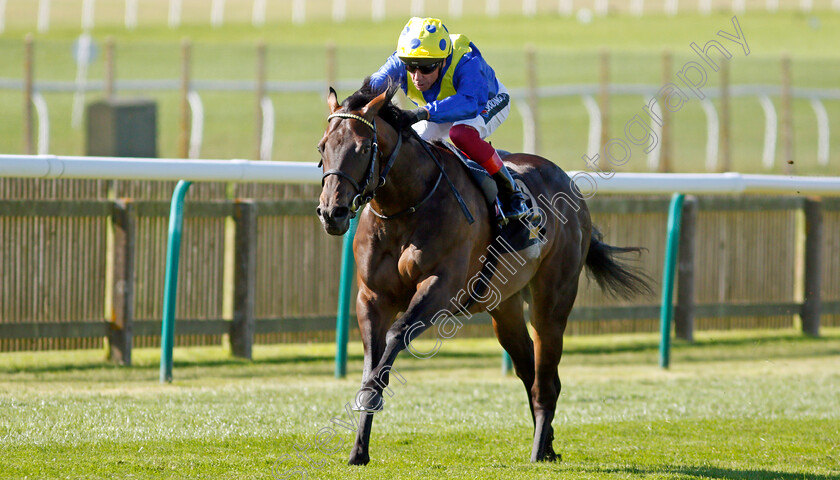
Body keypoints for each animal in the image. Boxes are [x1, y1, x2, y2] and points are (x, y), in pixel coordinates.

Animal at [318, 81, 652, 464]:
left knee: (547, 378)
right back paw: (548, 446)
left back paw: (539, 450)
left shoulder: (441, 288)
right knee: (529, 370)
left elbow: (395, 337)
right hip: (504, 306)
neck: (406, 206)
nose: (331, 213)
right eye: (323, 147)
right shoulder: (373, 297)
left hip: (553, 301)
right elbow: (372, 362)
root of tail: (569, 186)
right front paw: (358, 449)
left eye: (361, 148)